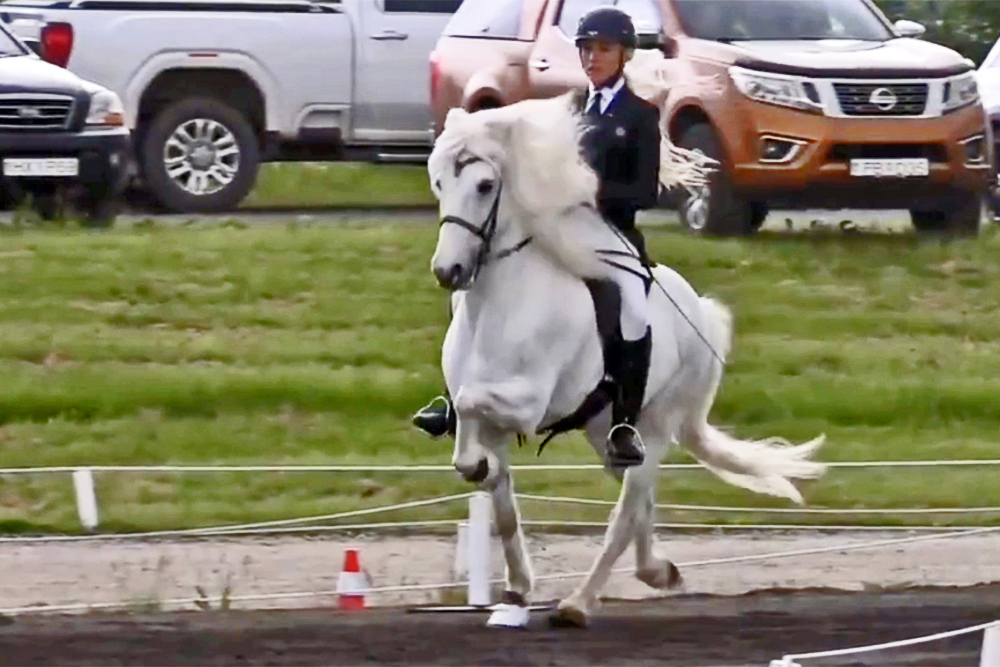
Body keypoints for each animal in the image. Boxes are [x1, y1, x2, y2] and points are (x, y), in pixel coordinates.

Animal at [430, 95, 828, 632]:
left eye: (484, 186)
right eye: (439, 183)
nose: (447, 271)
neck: (500, 305)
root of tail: (700, 310)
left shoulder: (526, 405)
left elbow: (475, 412)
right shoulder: (490, 419)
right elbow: (496, 491)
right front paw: (514, 595)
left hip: (655, 423)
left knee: (626, 511)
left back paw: (580, 603)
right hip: (608, 432)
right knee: (641, 497)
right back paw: (658, 570)